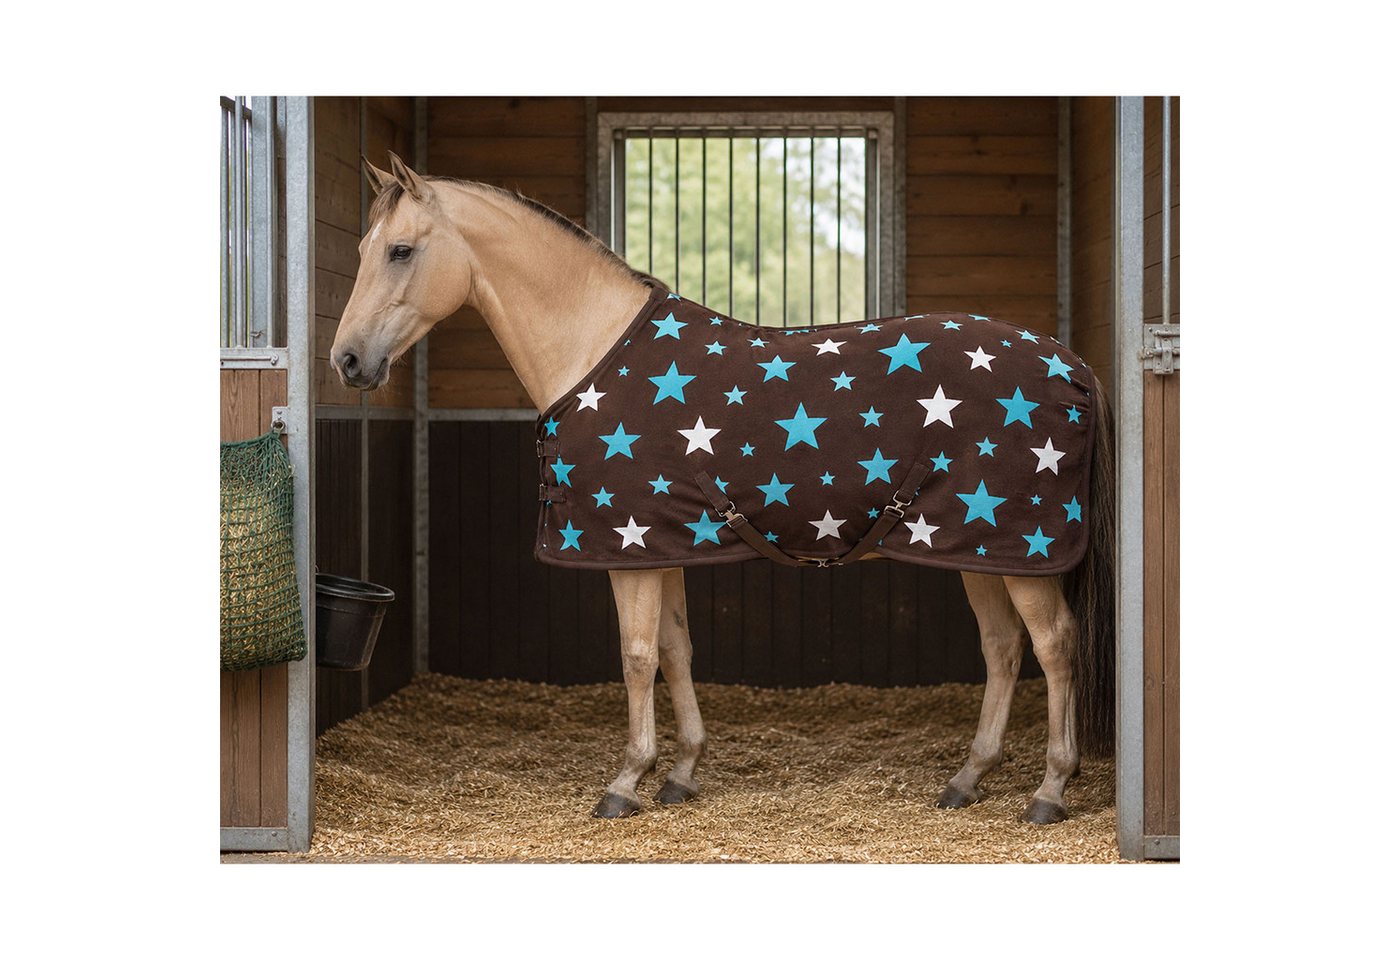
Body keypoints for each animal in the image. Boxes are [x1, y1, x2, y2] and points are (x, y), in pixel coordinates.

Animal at [332, 153, 1115, 825]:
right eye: (365, 249)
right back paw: (968, 778)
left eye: (400, 251)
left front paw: (627, 781)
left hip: (1017, 550)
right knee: (1002, 648)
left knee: (1053, 646)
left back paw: (1050, 790)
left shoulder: (628, 549)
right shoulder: (662, 544)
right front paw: (680, 774)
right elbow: (676, 649)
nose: (347, 361)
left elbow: (637, 656)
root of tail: (1069, 362)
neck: (596, 349)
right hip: (974, 546)